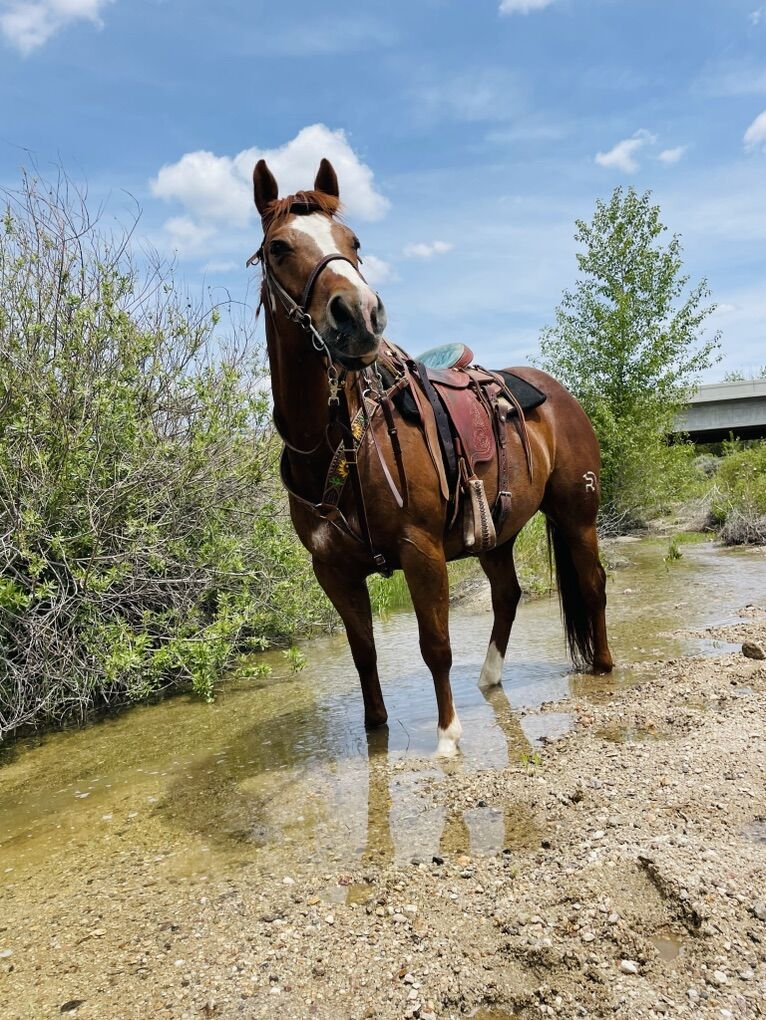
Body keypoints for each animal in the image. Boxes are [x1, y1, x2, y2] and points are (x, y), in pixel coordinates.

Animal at [251, 156, 613, 757]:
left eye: (354, 241)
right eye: (278, 247)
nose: (359, 315)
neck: (337, 444)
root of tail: (559, 393)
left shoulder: (421, 552)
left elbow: (435, 644)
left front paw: (447, 736)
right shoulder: (333, 572)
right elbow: (363, 653)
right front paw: (376, 730)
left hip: (577, 515)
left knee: (592, 585)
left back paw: (604, 666)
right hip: (497, 531)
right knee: (507, 595)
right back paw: (489, 678)